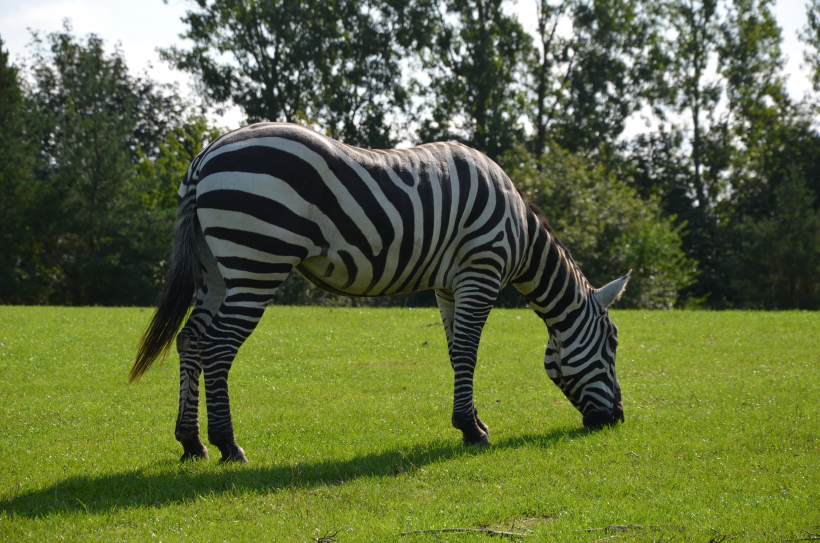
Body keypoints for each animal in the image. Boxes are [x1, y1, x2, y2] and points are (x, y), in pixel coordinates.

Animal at [128, 123, 632, 464]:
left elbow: (456, 352)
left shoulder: (448, 285)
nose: (618, 419)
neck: (520, 233)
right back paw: (228, 444)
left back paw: (191, 442)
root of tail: (205, 155)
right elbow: (470, 351)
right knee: (217, 347)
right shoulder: (481, 269)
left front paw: (469, 421)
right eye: (613, 344)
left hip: (215, 268)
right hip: (257, 260)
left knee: (191, 340)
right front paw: (474, 431)